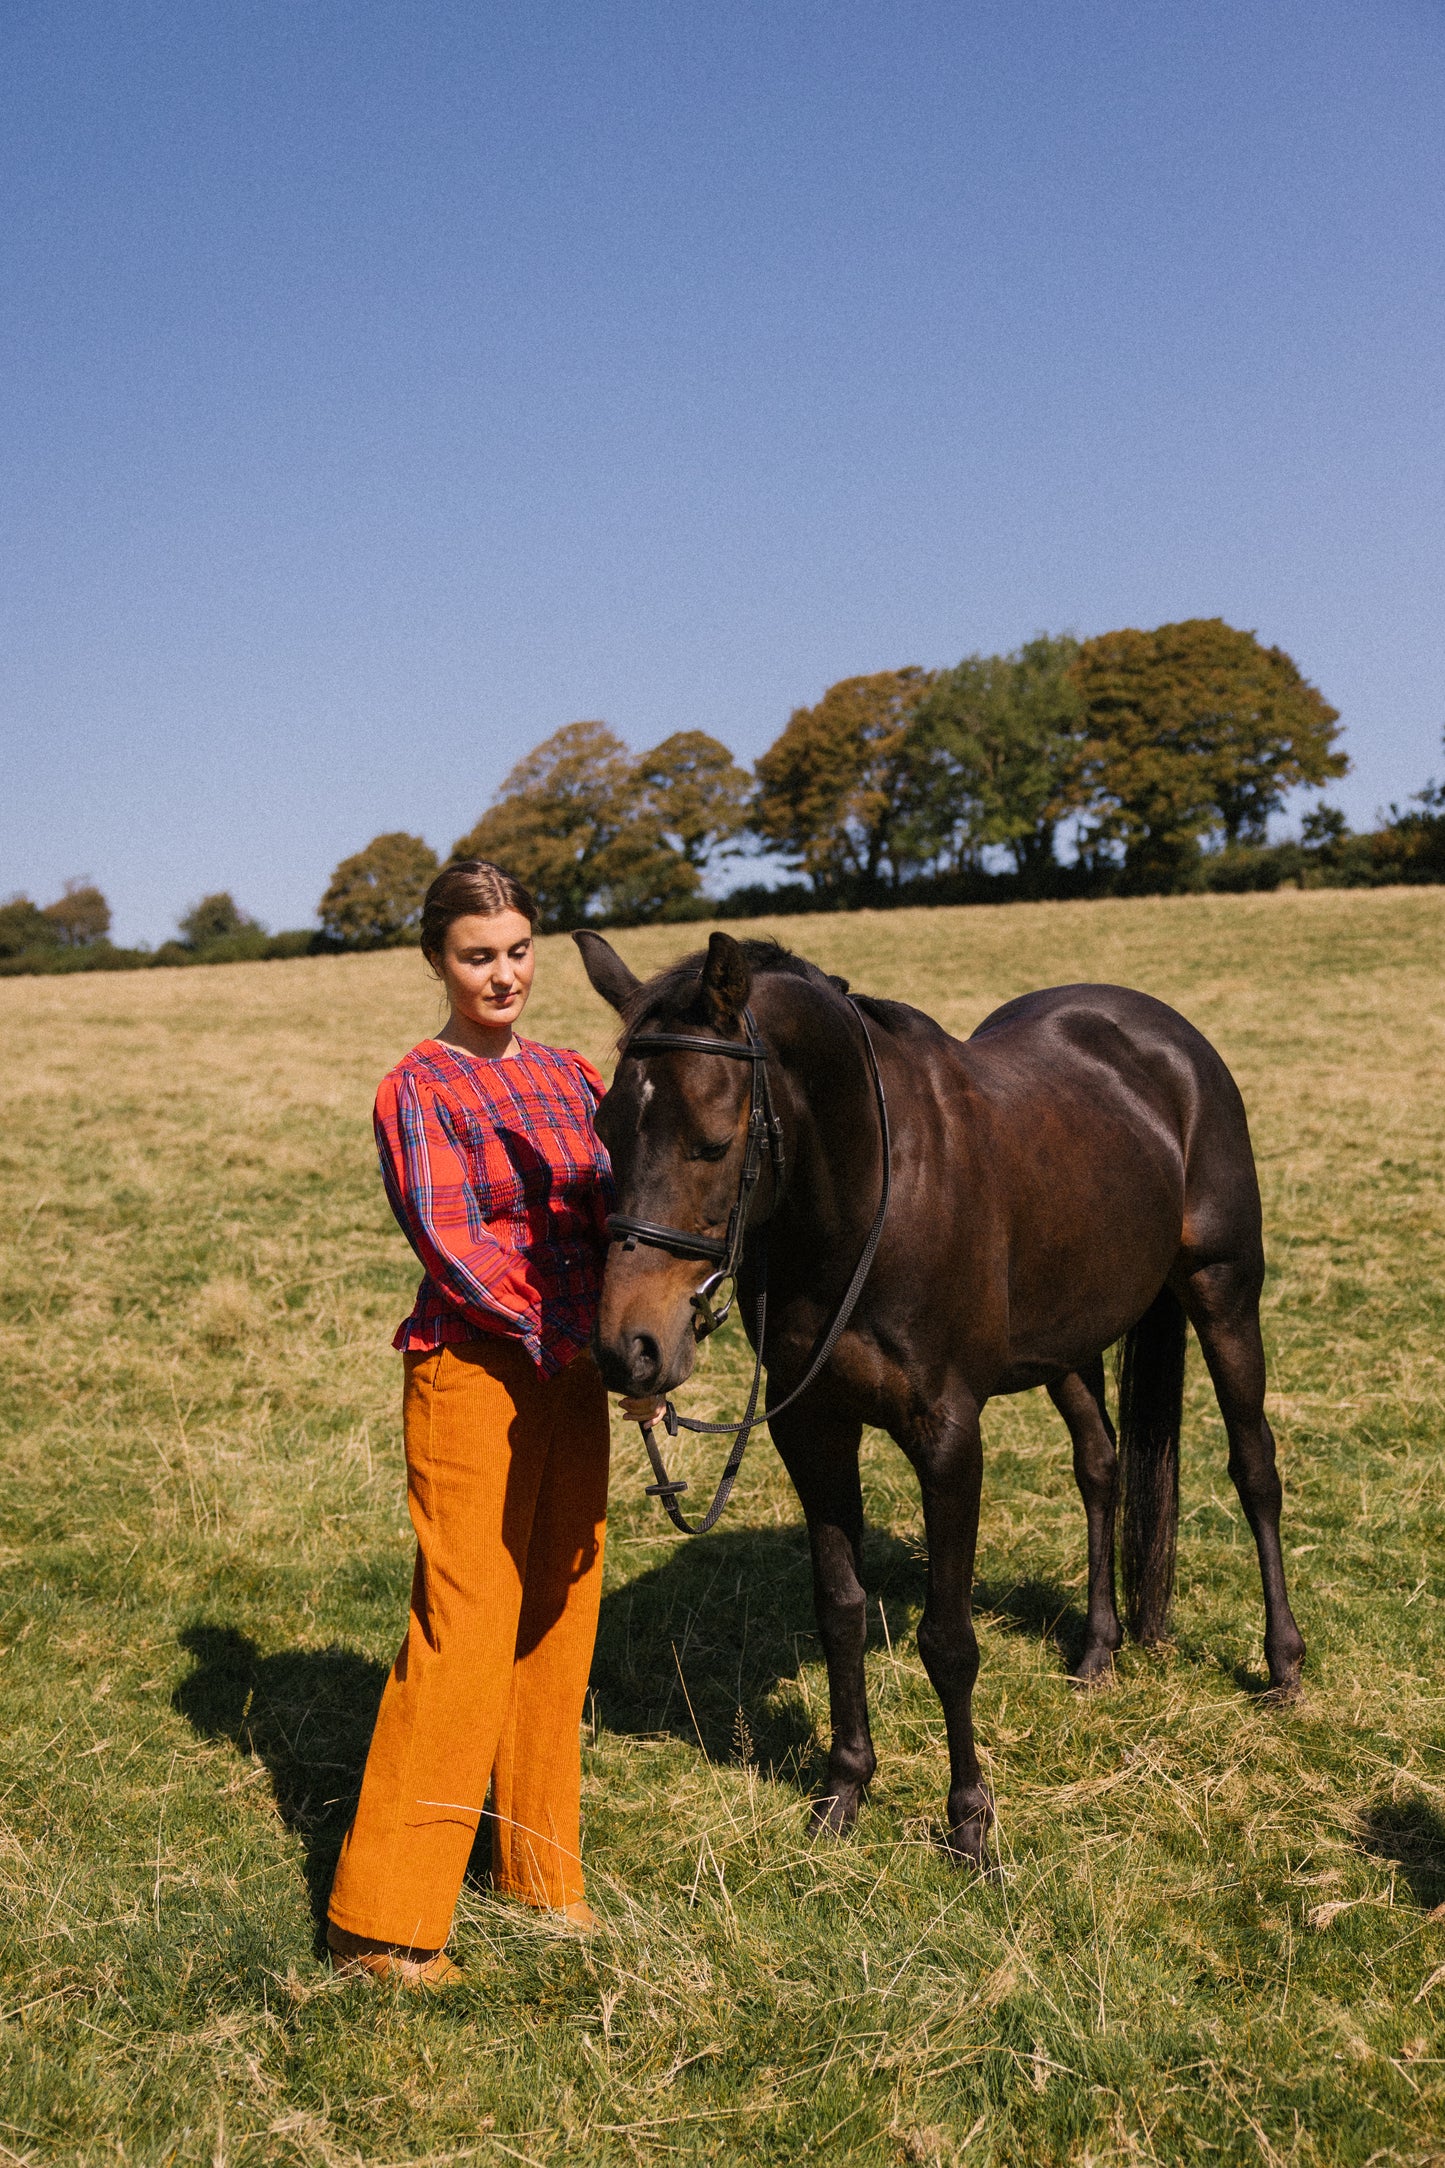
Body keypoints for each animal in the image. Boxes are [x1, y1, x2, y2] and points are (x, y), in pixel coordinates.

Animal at [576, 932, 1308, 1864]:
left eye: (710, 1143)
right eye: (605, 1132)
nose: (627, 1348)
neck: (862, 1207)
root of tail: (1168, 1039)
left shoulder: (947, 1438)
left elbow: (948, 1640)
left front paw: (969, 1824)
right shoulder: (811, 1428)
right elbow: (840, 1611)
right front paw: (843, 1791)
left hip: (1222, 1292)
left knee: (1254, 1470)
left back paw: (1282, 1665)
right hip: (1067, 1342)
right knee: (1101, 1468)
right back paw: (1098, 1653)